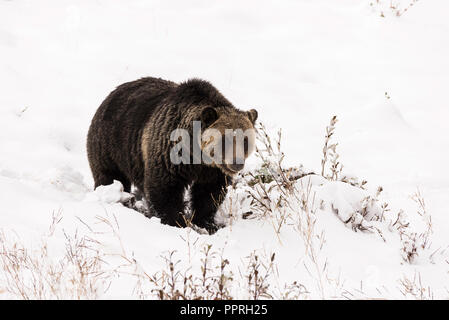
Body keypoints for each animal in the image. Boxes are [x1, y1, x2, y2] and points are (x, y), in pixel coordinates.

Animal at [87, 77, 258, 232]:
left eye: (245, 140)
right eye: (225, 139)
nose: (237, 163)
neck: (196, 155)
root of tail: (110, 96)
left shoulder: (212, 171)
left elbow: (209, 194)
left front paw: (207, 223)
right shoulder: (169, 154)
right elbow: (164, 189)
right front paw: (176, 222)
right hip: (110, 145)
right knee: (110, 177)